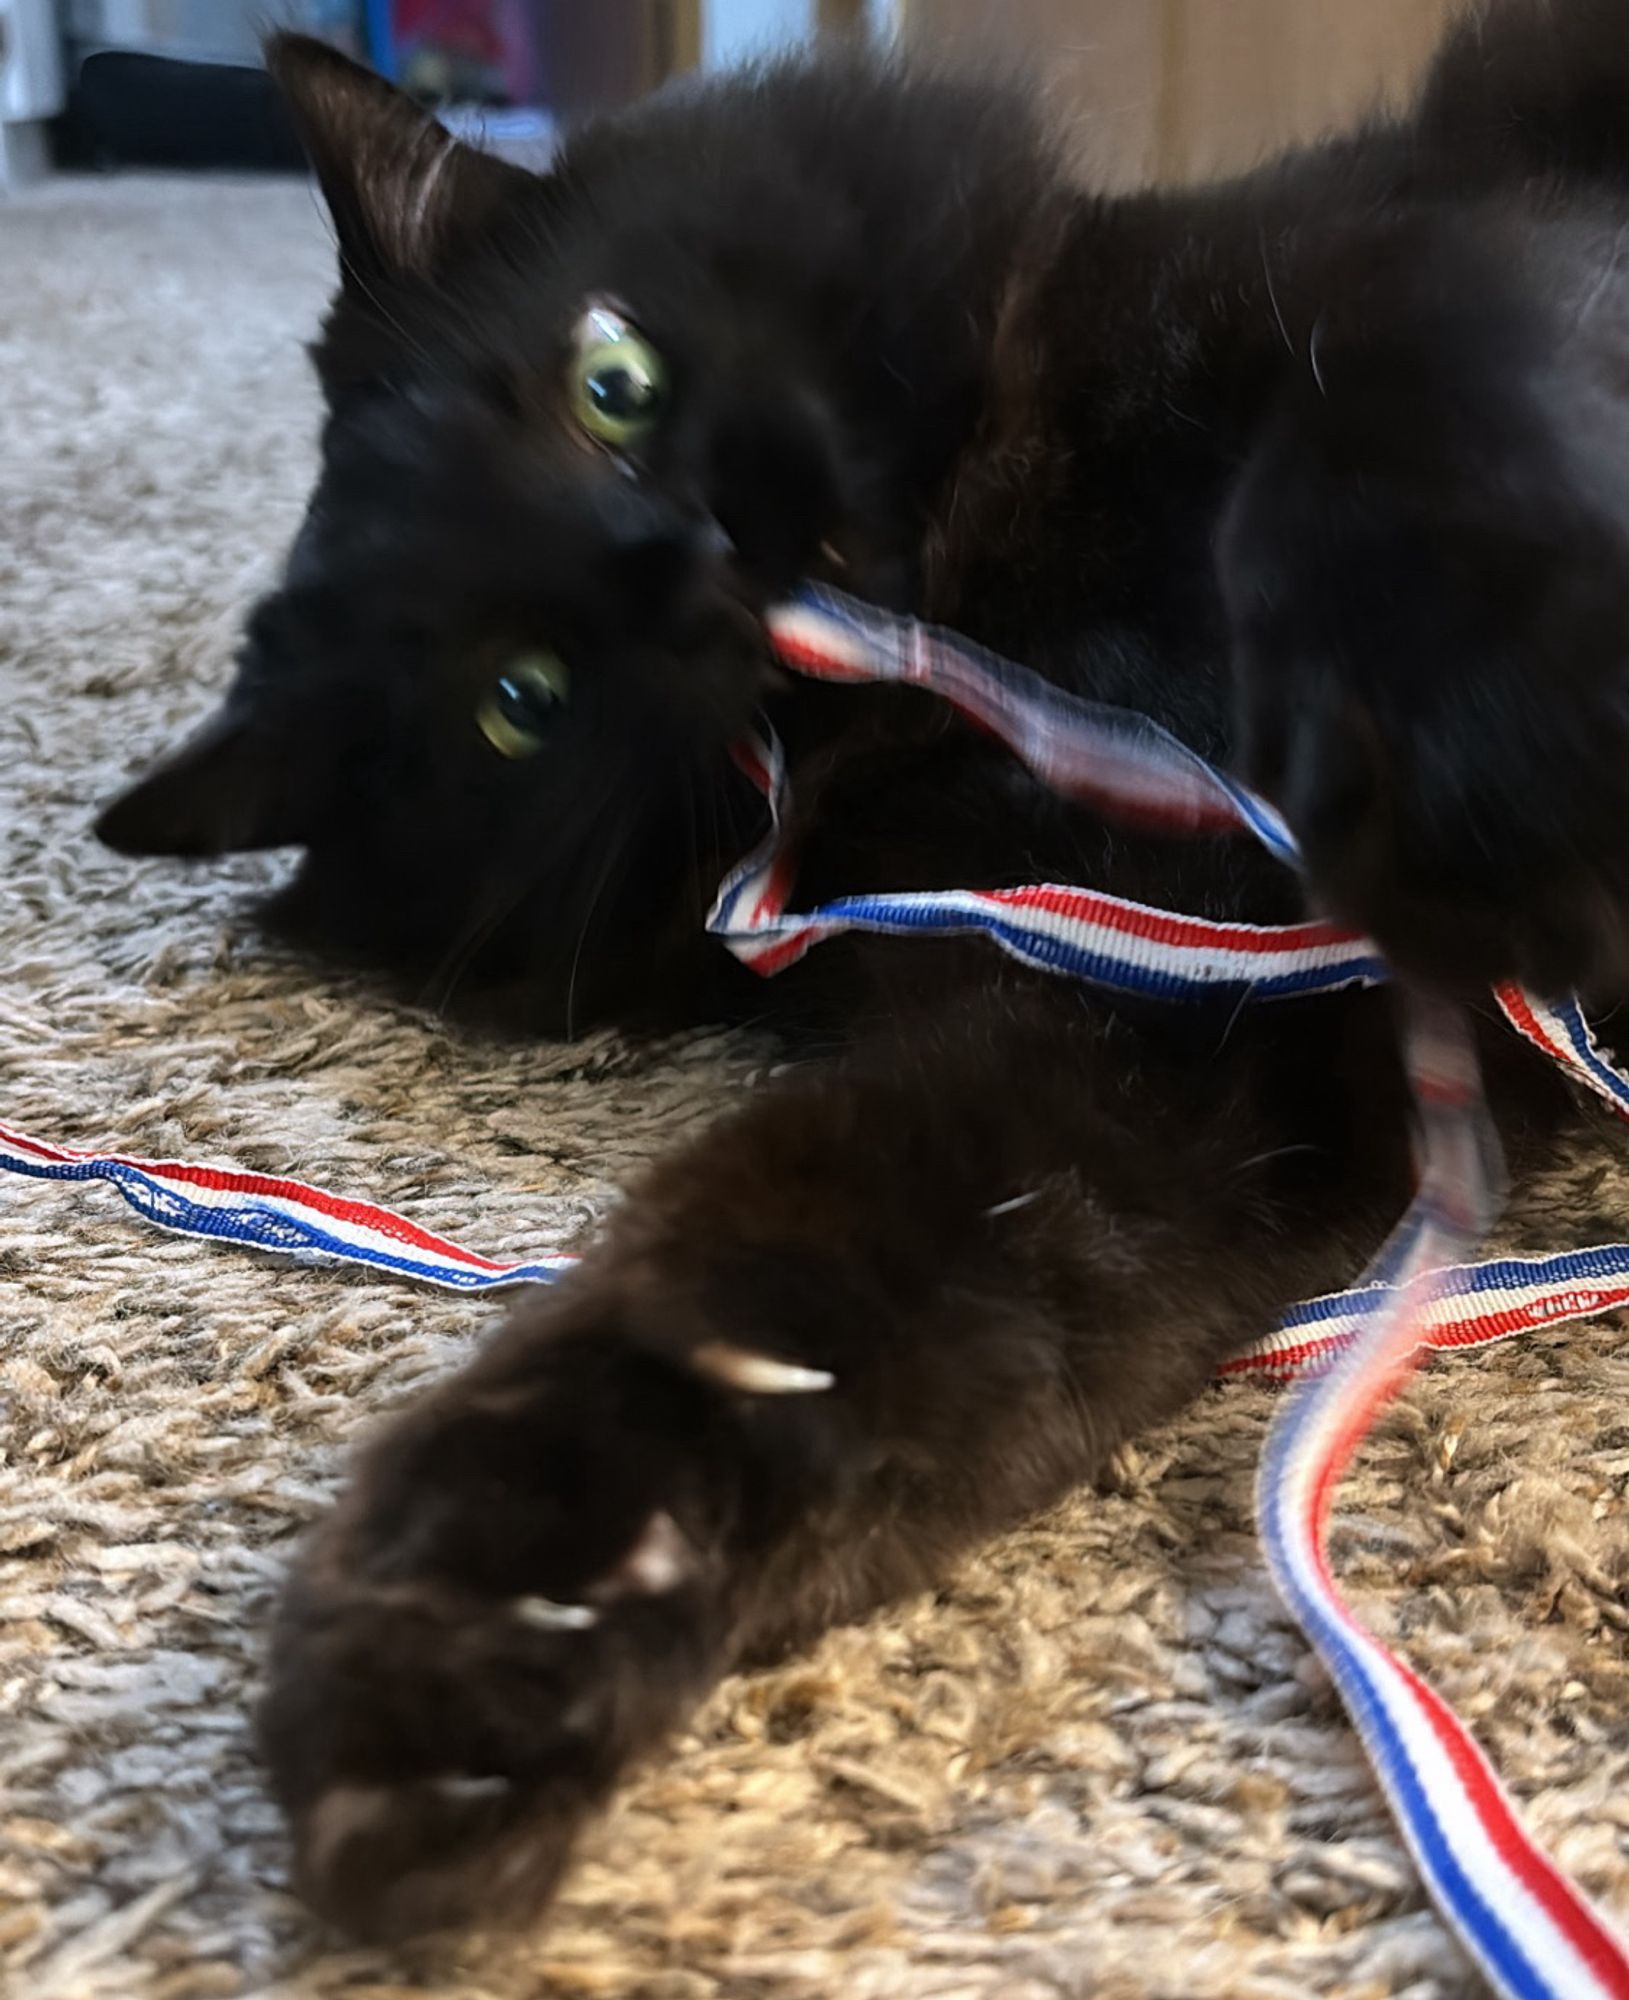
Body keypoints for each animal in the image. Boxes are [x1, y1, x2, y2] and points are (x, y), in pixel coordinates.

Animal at [95, 0, 1629, 1936]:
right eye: (517, 700)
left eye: (612, 381)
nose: (688, 563)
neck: (1019, 618)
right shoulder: (1153, 1016)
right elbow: (799, 1281)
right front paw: (488, 1621)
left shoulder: (1401, 267)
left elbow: (1400, 386)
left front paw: (1497, 749)